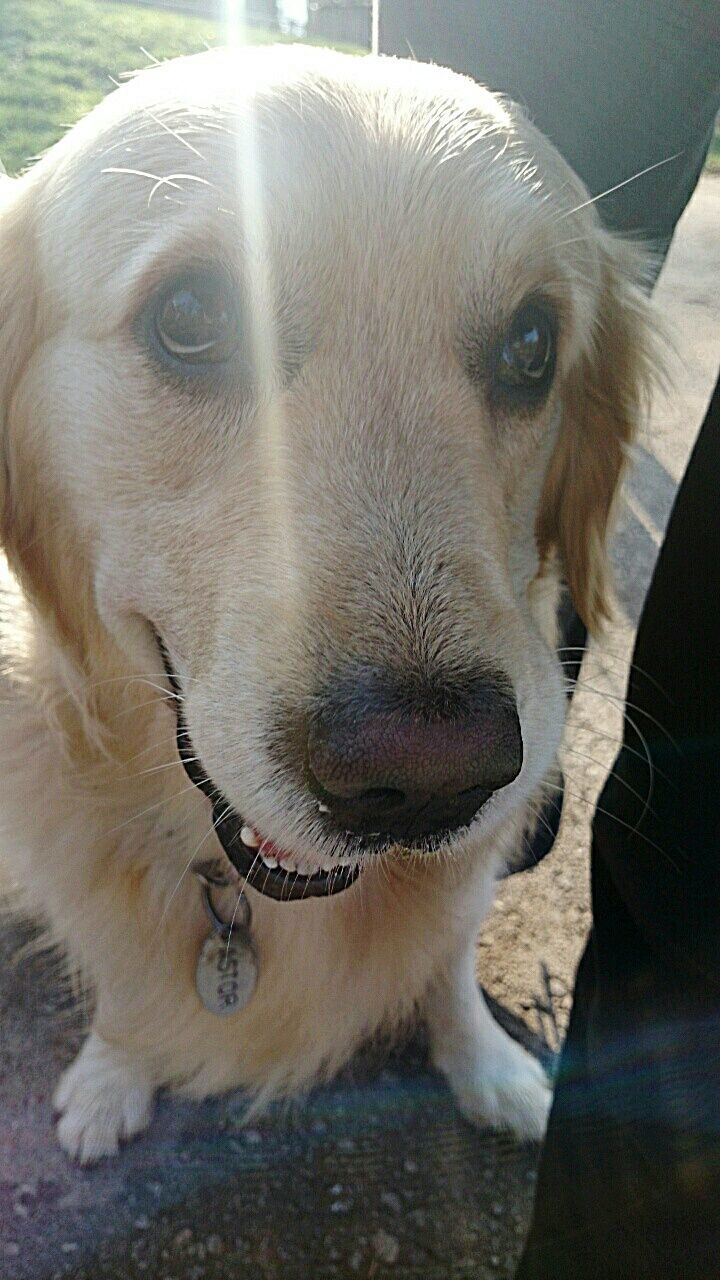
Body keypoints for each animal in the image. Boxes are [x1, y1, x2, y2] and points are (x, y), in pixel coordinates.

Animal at [0, 45, 655, 1167]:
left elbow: (447, 955)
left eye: (532, 342)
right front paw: (111, 1075)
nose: (429, 780)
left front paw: (484, 1063)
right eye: (192, 316)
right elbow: (124, 990)